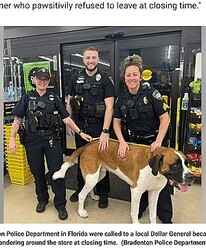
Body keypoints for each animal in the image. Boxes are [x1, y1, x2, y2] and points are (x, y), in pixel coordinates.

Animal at [52, 139, 194, 223]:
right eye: (175, 165)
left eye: (187, 163)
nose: (191, 177)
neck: (156, 172)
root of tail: (88, 144)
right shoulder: (136, 191)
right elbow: (134, 212)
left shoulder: (154, 193)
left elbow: (153, 214)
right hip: (92, 177)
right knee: (81, 194)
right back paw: (81, 211)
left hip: (98, 175)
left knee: (88, 188)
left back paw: (93, 196)